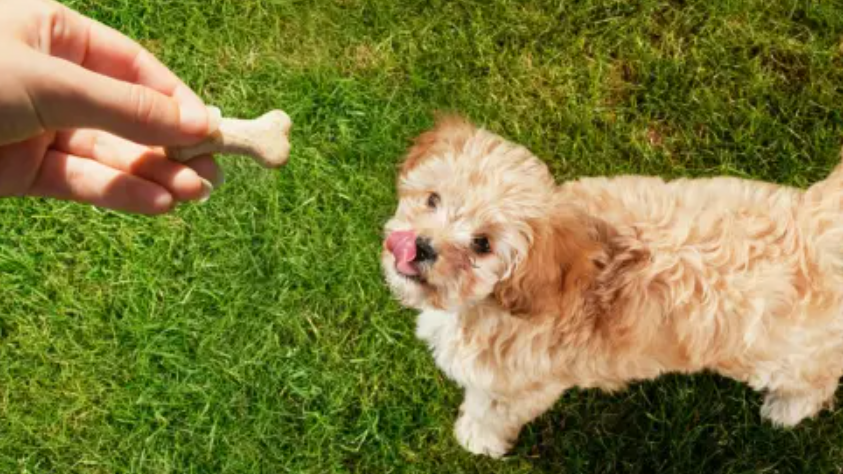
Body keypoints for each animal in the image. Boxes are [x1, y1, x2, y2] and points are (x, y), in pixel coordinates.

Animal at [384, 115, 843, 460]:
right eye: (432, 199)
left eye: (482, 244)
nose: (420, 246)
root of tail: (817, 223)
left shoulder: (513, 387)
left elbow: (490, 413)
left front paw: (475, 440)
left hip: (784, 355)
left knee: (819, 380)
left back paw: (787, 410)